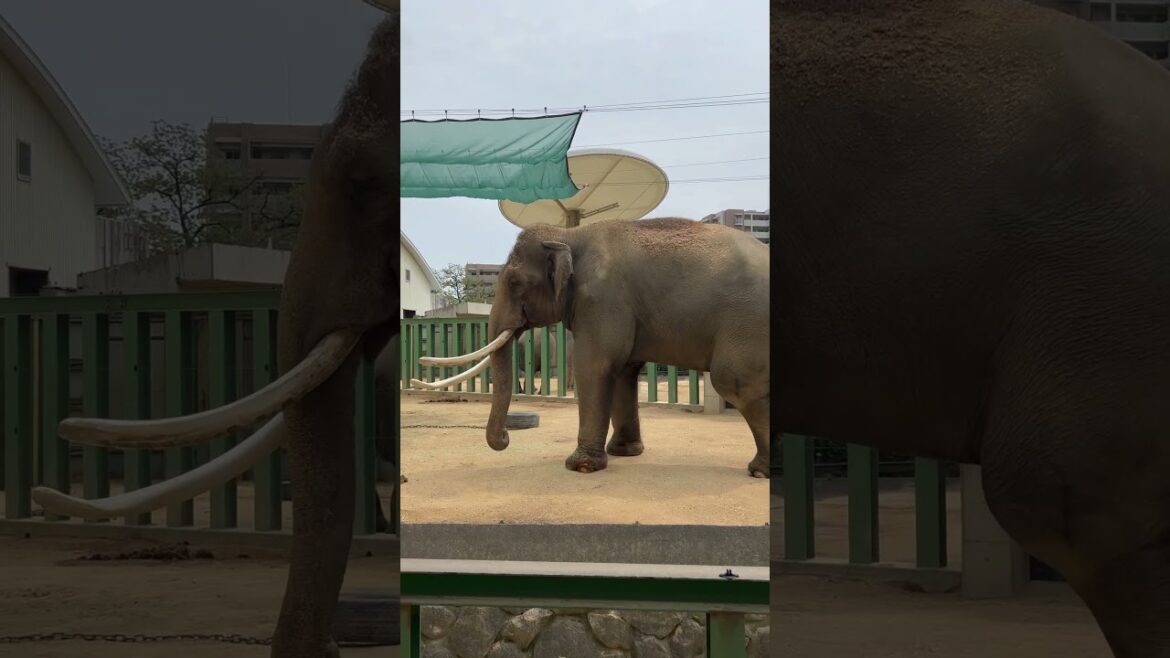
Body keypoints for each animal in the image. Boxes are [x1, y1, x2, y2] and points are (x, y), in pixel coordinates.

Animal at [413, 218, 769, 477]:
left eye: (514, 283)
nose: (504, 439)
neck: (570, 234)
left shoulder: (602, 299)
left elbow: (595, 366)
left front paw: (580, 466)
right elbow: (623, 371)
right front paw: (623, 453)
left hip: (748, 321)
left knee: (735, 380)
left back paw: (761, 471)